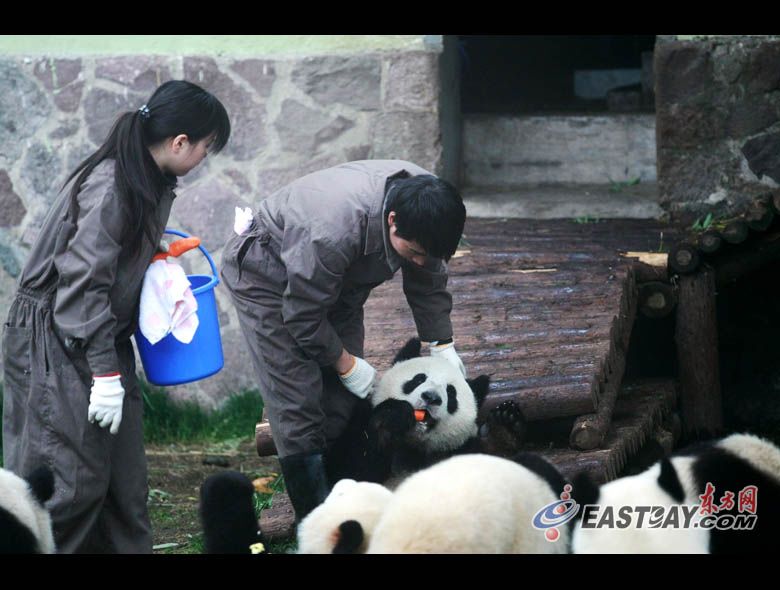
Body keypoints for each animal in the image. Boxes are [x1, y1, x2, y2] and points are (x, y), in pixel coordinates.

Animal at [326, 340, 528, 488]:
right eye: (418, 379)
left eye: (451, 393)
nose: (431, 398)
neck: (414, 445)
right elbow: (349, 472)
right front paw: (392, 418)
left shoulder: (457, 451)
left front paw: (502, 430)